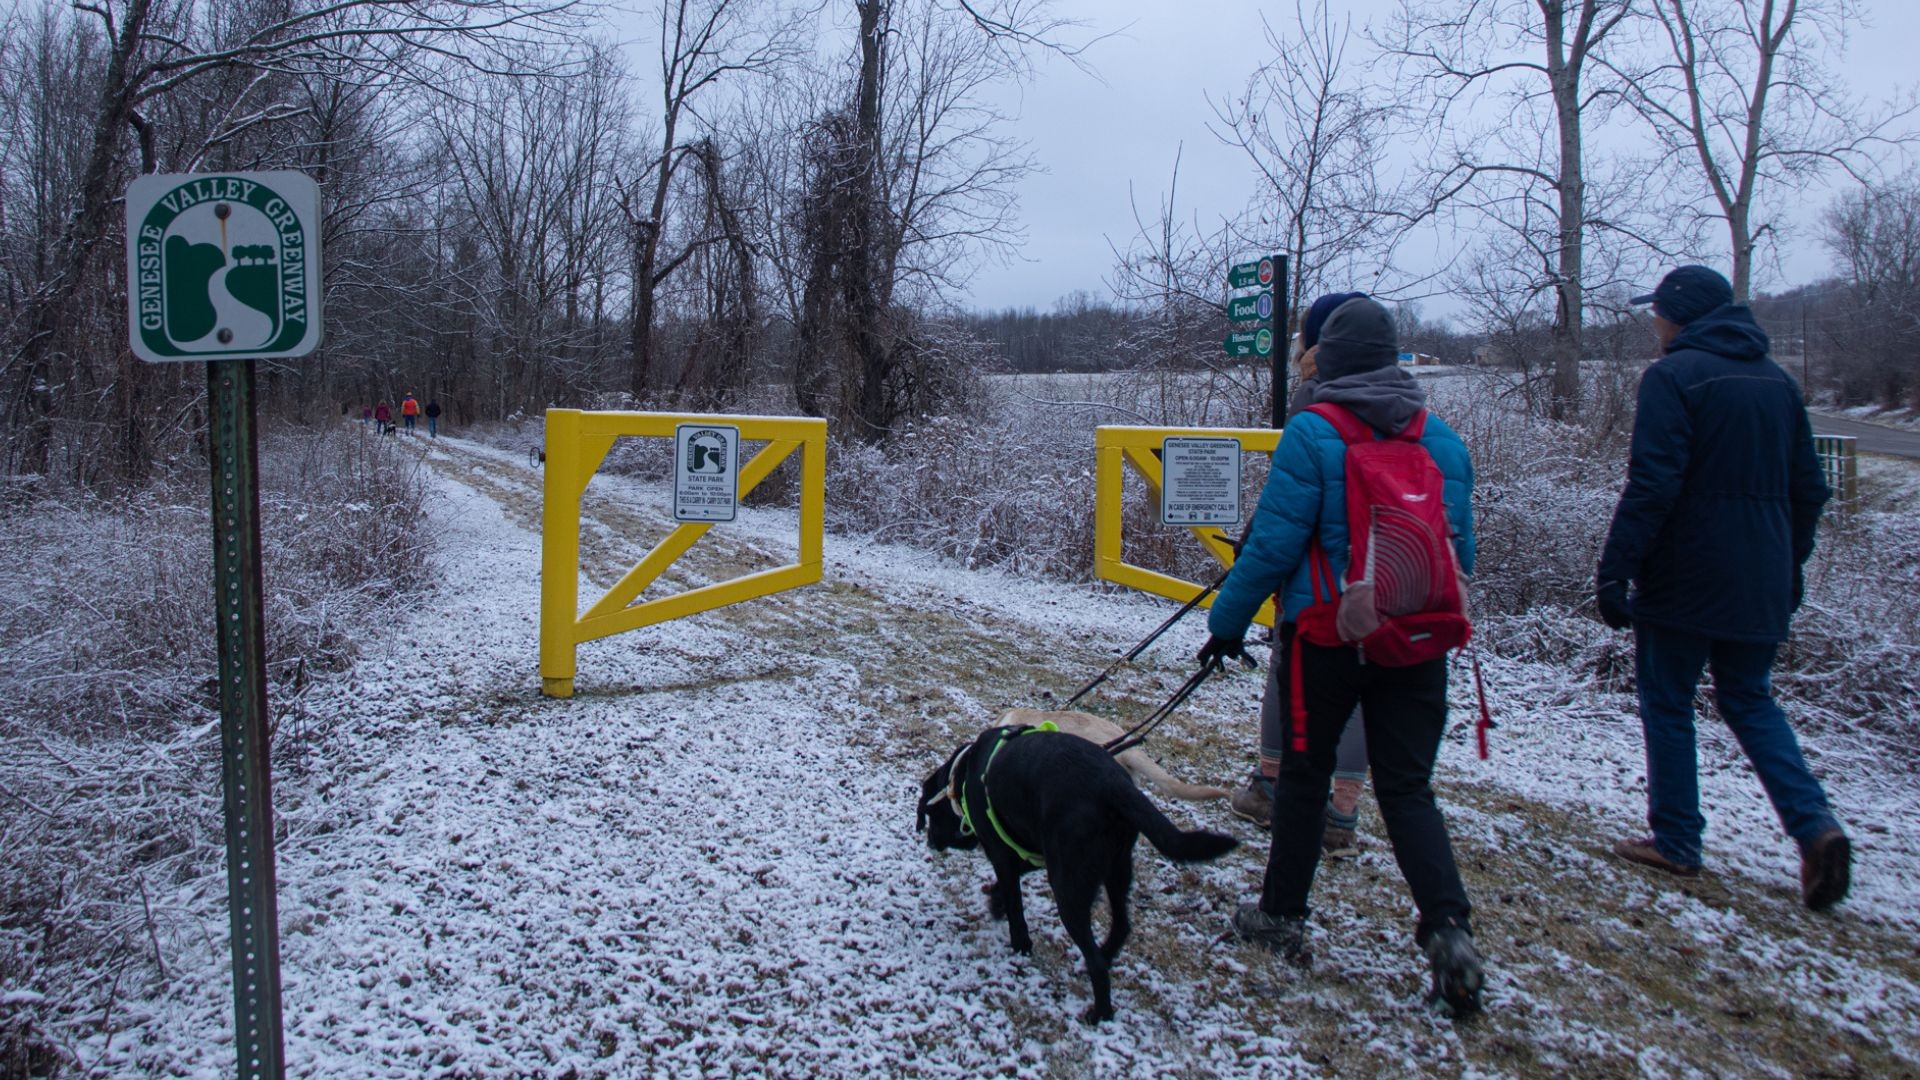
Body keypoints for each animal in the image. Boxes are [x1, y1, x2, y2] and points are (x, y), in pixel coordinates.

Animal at [917, 722, 1244, 1014]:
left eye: (931, 816)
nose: (930, 841)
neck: (964, 773)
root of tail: (1112, 784)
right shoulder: (1035, 850)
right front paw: (996, 902)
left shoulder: (1007, 853)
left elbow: (1015, 906)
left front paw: (1020, 944)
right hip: (1114, 870)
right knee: (1121, 927)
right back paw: (1103, 956)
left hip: (1068, 888)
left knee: (1095, 958)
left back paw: (1099, 1013)